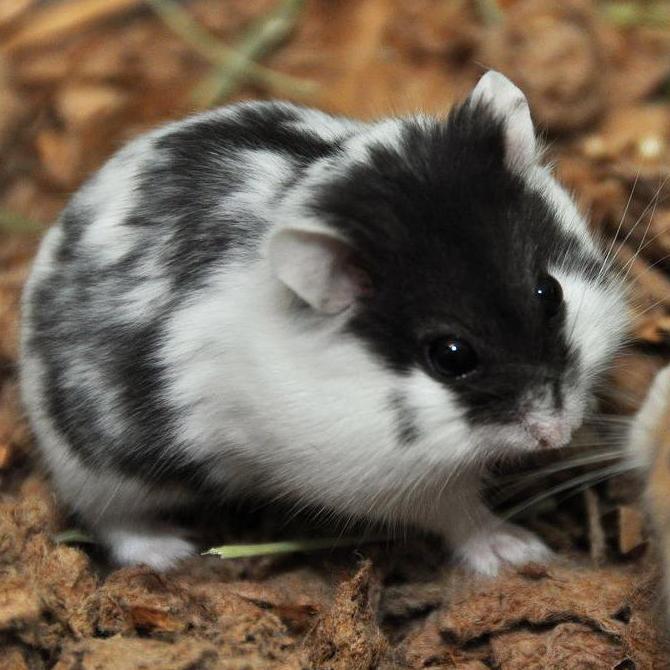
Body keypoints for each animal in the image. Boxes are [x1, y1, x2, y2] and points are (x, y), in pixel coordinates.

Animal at [19, 71, 629, 574]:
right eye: (451, 356)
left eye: (550, 293)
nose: (558, 433)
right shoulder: (392, 482)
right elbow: (460, 514)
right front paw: (521, 553)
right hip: (100, 474)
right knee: (111, 521)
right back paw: (170, 552)